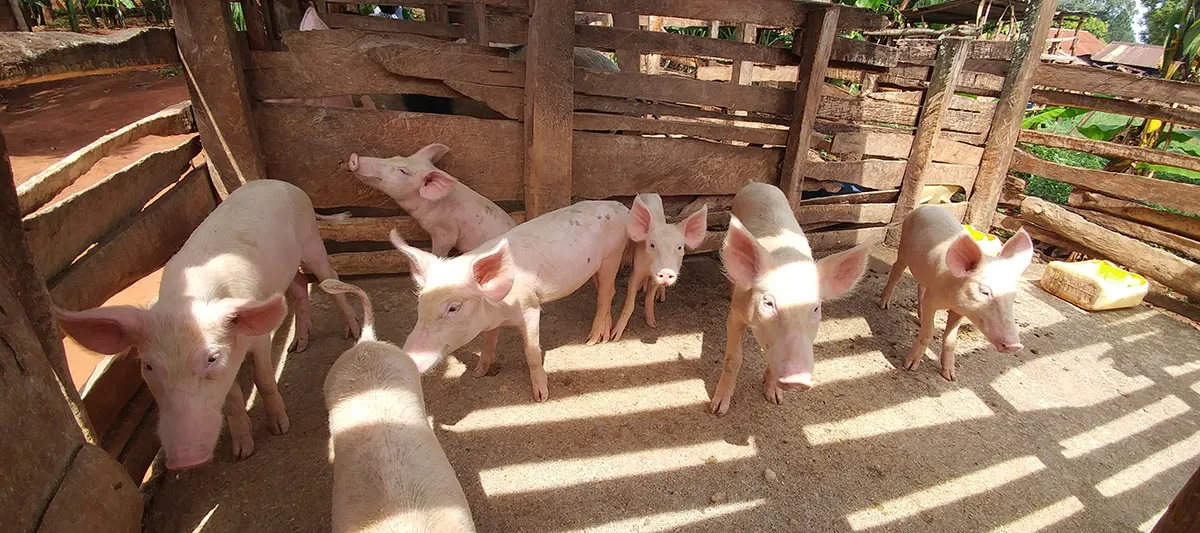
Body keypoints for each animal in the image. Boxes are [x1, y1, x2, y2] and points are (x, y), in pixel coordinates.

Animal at [55, 180, 361, 469]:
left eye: (212, 358)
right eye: (148, 366)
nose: (186, 460)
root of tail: (281, 183)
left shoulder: (258, 338)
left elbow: (262, 378)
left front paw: (280, 429)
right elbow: (233, 399)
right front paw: (242, 453)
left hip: (311, 240)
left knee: (329, 278)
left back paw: (353, 331)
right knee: (298, 286)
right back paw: (298, 346)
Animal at [390, 201, 630, 401]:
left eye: (453, 308)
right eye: (420, 304)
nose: (407, 357)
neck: (499, 311)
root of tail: (619, 206)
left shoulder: (530, 307)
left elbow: (532, 352)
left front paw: (541, 397)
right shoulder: (491, 321)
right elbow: (488, 342)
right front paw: (478, 373)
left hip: (612, 254)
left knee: (606, 294)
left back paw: (592, 340)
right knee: (608, 291)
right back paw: (604, 334)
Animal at [611, 194, 707, 340]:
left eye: (680, 247)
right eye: (652, 245)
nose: (666, 271)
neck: (650, 270)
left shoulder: (655, 279)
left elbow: (650, 298)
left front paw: (653, 324)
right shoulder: (637, 269)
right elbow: (630, 303)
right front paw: (614, 336)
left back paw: (661, 297)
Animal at [710, 183, 874, 415]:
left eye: (815, 308)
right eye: (769, 303)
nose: (797, 380)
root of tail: (757, 183)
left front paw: (775, 399)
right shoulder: (736, 314)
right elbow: (734, 358)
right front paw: (717, 409)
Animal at [880, 205, 1034, 380]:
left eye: (1013, 295)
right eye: (984, 292)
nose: (1015, 345)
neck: (951, 298)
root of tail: (928, 206)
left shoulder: (960, 310)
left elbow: (950, 340)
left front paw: (950, 376)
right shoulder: (932, 300)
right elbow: (928, 333)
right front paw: (909, 367)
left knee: (921, 286)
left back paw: (920, 318)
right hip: (904, 245)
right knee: (896, 269)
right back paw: (884, 304)